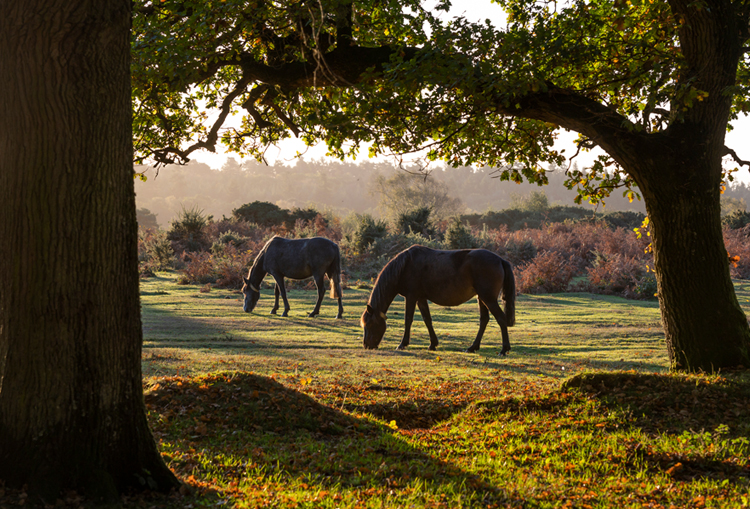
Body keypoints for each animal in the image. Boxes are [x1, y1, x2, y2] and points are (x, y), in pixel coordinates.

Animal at [360, 246, 516, 354]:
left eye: (370, 324)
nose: (367, 346)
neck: (405, 266)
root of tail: (500, 260)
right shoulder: (421, 298)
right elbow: (427, 320)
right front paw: (432, 344)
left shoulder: (411, 297)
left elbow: (408, 319)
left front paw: (402, 344)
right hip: (482, 299)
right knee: (484, 320)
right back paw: (472, 347)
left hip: (488, 299)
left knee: (501, 319)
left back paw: (504, 350)